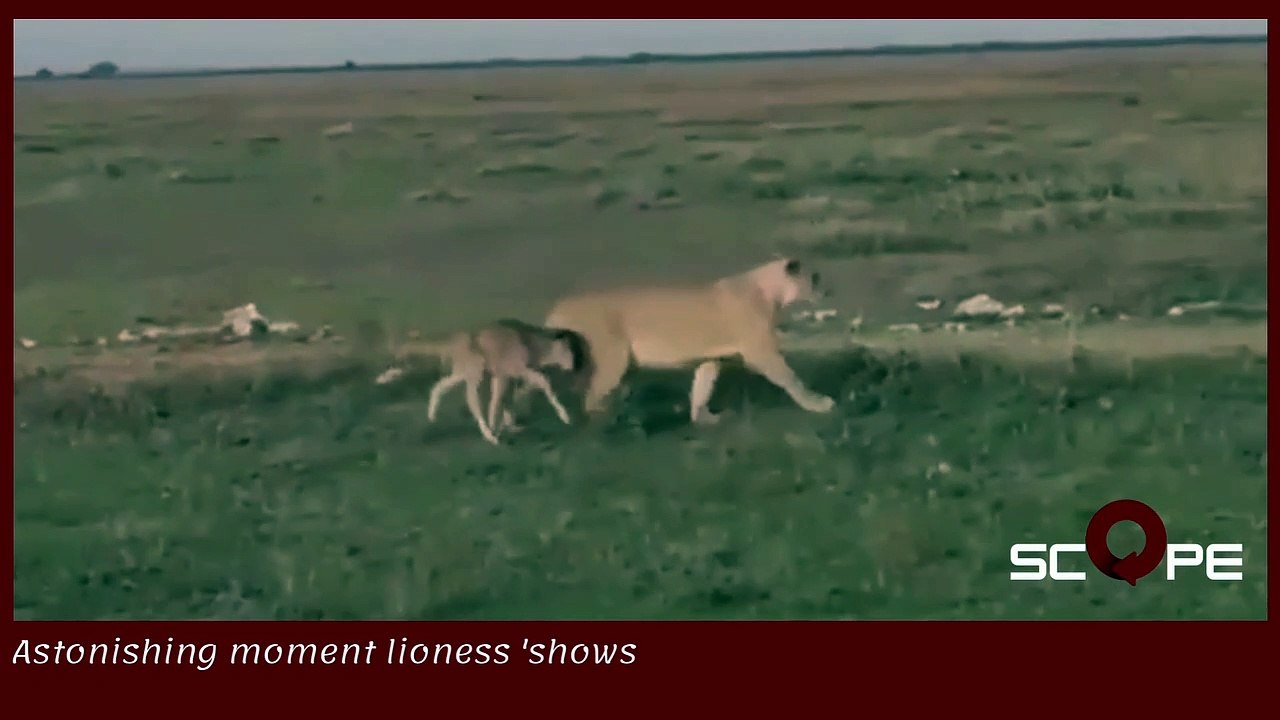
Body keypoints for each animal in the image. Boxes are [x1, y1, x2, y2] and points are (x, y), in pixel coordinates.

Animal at [515, 257, 836, 426]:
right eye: (815, 277)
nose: (827, 291)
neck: (771, 291)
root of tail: (558, 307)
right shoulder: (760, 350)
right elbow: (790, 377)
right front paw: (818, 404)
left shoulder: (713, 357)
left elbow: (703, 385)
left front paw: (704, 418)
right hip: (612, 357)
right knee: (588, 397)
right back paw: (608, 422)